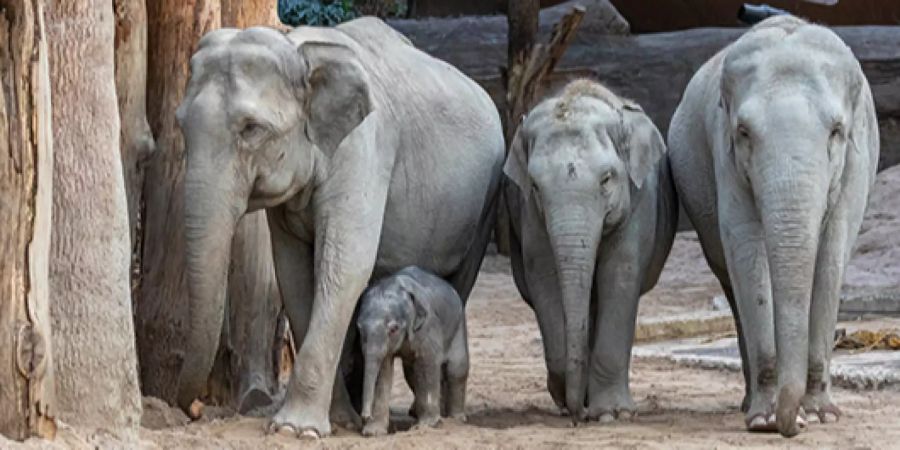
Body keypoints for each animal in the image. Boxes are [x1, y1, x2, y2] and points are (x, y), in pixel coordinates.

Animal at [356, 268, 472, 436]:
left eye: (393, 329)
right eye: (359, 329)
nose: (365, 416)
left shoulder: (428, 326)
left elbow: (427, 363)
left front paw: (429, 425)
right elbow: (384, 370)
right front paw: (373, 432)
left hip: (458, 326)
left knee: (456, 369)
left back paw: (455, 419)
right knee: (411, 374)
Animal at [502, 79, 680, 424]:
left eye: (607, 179)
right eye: (535, 186)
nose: (576, 418)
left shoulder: (639, 200)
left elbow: (620, 272)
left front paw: (612, 414)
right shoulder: (530, 213)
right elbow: (543, 274)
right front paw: (573, 398)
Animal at [668, 15, 880, 438]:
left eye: (836, 131)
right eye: (744, 133)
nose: (791, 424)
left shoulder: (856, 162)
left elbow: (831, 255)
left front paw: (821, 415)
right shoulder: (725, 158)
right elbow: (746, 247)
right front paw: (766, 421)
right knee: (728, 278)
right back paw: (749, 403)